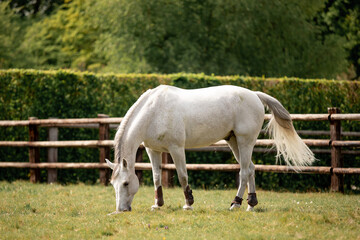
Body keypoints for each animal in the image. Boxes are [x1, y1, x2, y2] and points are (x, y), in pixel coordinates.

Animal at [105, 85, 314, 213]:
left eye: (125, 183)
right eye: (113, 184)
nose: (121, 210)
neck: (154, 110)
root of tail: (255, 94)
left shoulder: (176, 148)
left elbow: (182, 176)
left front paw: (188, 204)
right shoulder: (153, 150)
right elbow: (156, 177)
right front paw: (158, 204)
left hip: (245, 141)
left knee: (244, 172)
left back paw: (235, 204)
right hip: (234, 142)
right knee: (251, 169)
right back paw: (251, 205)